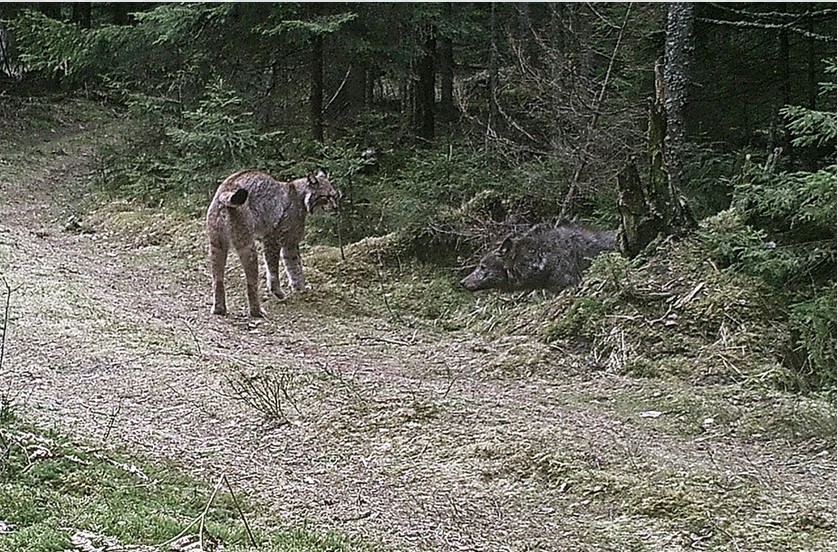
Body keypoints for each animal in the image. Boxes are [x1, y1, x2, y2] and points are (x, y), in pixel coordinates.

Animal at [208, 167, 340, 314]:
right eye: (326, 197)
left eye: (335, 196)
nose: (336, 208)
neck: (301, 197)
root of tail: (227, 187)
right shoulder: (273, 239)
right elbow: (274, 269)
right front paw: (278, 292)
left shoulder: (290, 243)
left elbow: (294, 266)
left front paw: (300, 290)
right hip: (247, 244)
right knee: (251, 282)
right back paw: (257, 311)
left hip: (216, 244)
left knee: (217, 279)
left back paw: (219, 308)